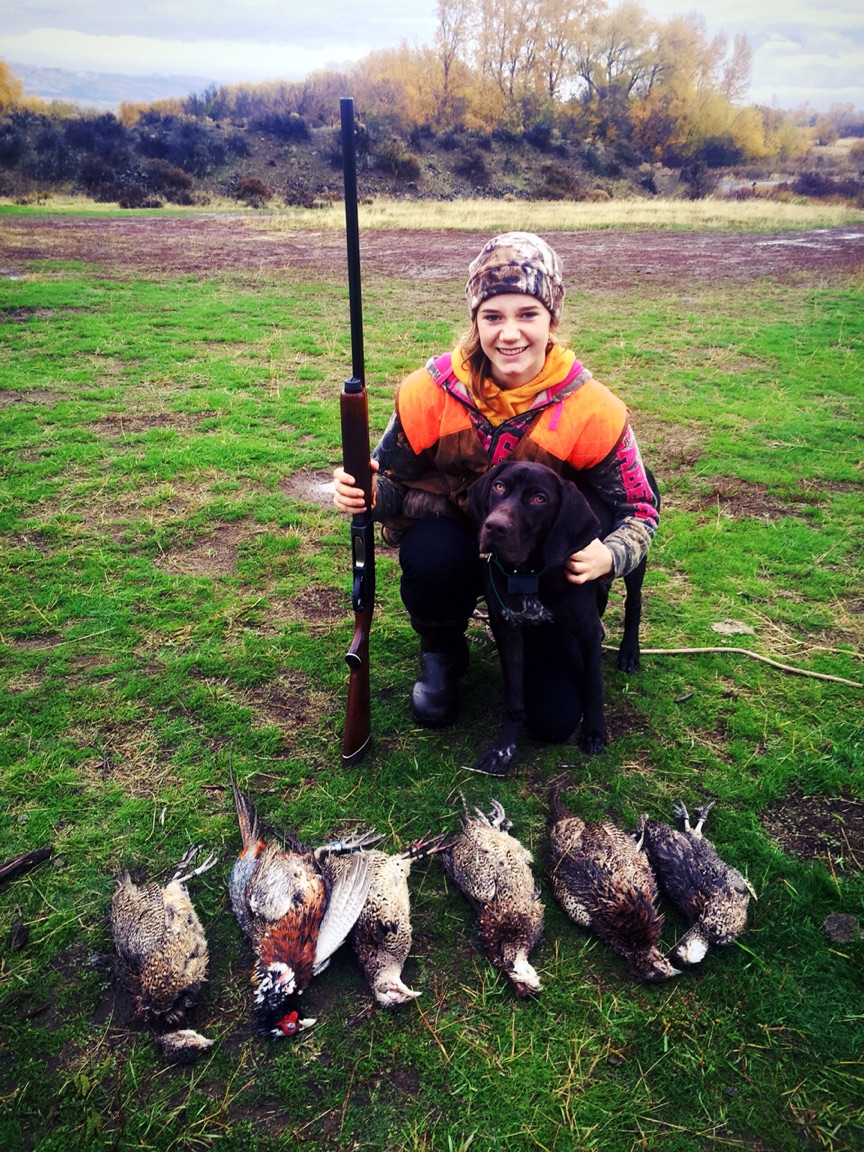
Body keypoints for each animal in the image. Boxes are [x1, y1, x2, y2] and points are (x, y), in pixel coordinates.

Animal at [470, 458, 654, 774]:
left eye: (539, 499)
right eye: (499, 486)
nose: (494, 526)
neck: (529, 572)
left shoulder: (587, 630)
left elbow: (593, 683)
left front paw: (594, 731)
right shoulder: (506, 628)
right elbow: (515, 697)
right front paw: (503, 748)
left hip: (634, 562)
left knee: (634, 603)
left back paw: (629, 653)